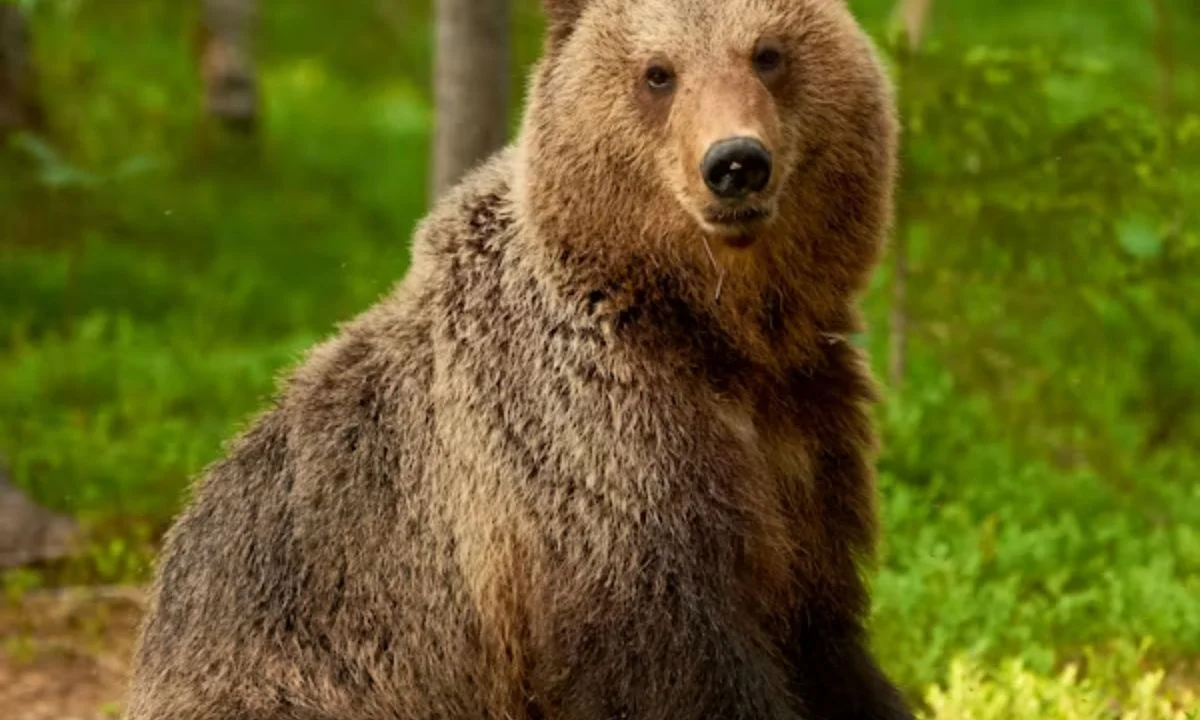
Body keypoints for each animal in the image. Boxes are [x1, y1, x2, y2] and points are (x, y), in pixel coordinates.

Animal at [123, 0, 910, 718]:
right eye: (658, 72)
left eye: (767, 53)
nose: (736, 163)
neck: (714, 329)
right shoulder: (593, 451)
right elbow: (677, 658)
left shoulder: (804, 431)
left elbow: (821, 631)